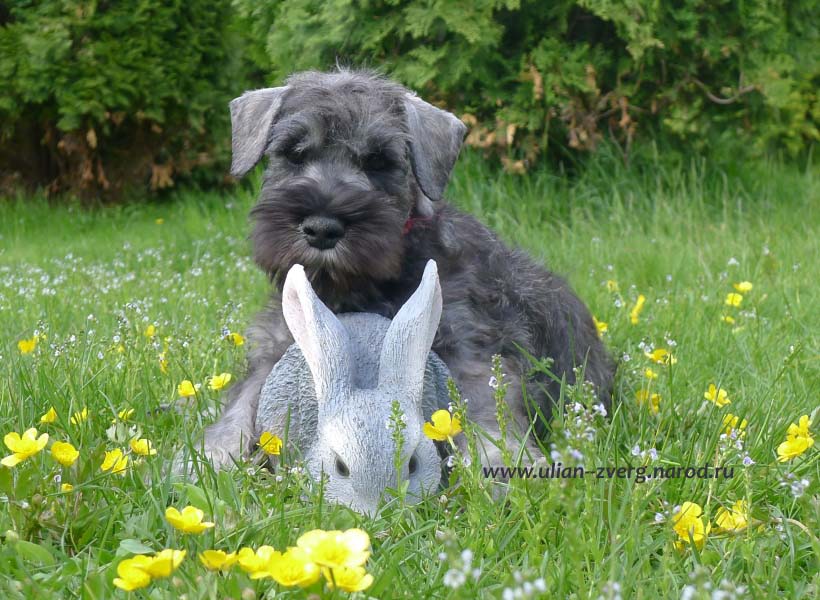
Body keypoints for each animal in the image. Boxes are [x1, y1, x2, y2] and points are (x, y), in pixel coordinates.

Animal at [203, 70, 616, 472]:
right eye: (293, 153)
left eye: (378, 161)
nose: (322, 228)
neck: (353, 289)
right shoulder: (276, 350)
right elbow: (241, 406)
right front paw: (212, 460)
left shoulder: (468, 349)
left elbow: (484, 411)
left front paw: (502, 464)